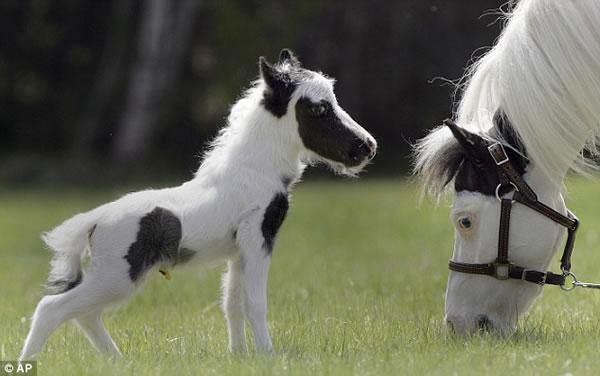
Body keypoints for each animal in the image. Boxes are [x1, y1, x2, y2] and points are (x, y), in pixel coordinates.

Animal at [21, 48, 378, 360]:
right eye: (318, 109)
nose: (368, 146)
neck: (253, 169)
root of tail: (94, 220)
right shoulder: (258, 237)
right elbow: (254, 301)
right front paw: (268, 356)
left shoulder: (238, 250)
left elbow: (232, 303)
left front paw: (240, 356)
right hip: (117, 275)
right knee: (52, 308)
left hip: (111, 277)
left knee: (85, 315)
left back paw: (119, 361)